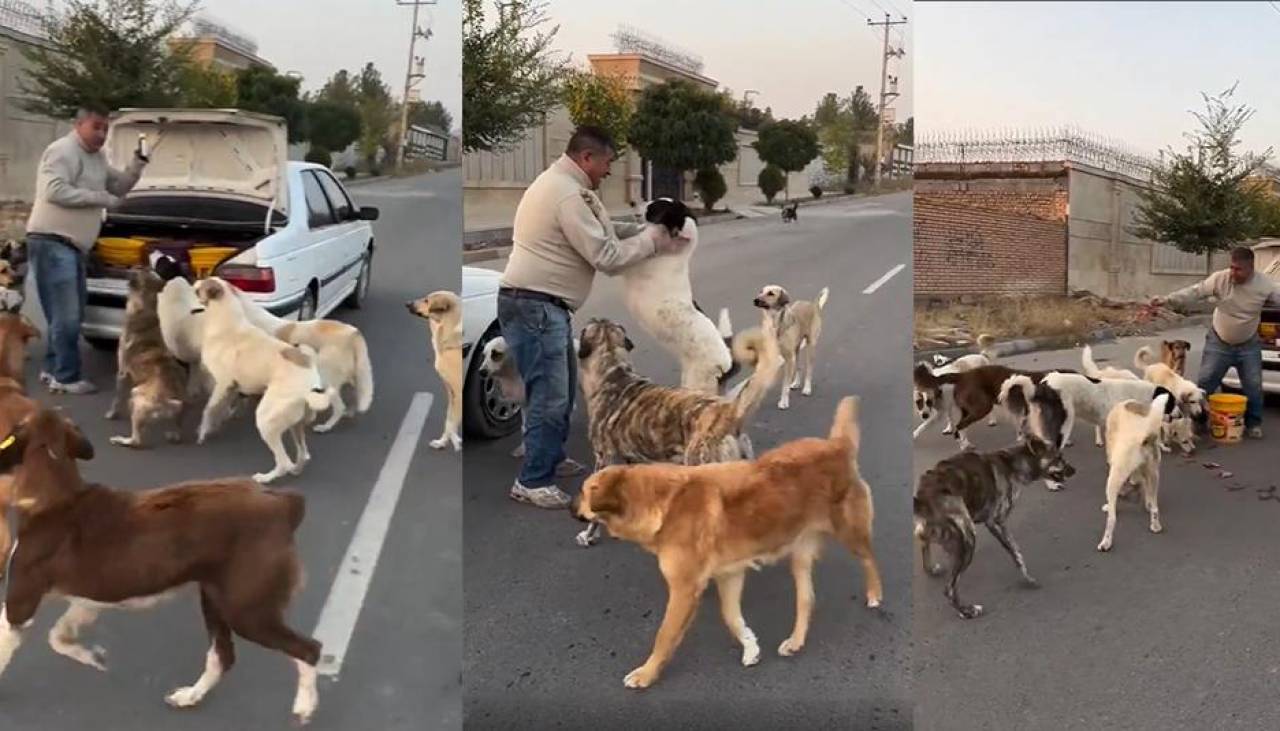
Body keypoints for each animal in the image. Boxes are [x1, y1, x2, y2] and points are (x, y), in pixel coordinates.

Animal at [0, 409, 322, 722]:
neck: (55, 493)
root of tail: (284, 504)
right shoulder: (88, 601)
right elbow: (58, 636)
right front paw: (90, 655)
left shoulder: (19, 606)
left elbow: (16, 645)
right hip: (215, 598)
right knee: (222, 657)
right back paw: (190, 696)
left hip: (247, 611)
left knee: (309, 650)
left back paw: (305, 705)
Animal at [193, 277, 335, 483]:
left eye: (201, 286)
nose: (194, 280)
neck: (226, 318)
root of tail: (309, 387)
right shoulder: (232, 387)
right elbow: (223, 408)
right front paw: (221, 420)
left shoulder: (222, 383)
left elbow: (208, 410)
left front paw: (203, 432)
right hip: (295, 424)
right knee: (303, 455)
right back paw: (296, 469)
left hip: (266, 420)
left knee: (284, 462)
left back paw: (265, 478)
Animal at [407, 291, 463, 453]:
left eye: (427, 301)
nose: (407, 303)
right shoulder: (451, 392)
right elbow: (449, 420)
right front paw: (443, 442)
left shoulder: (458, 392)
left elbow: (451, 422)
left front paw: (455, 441)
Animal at [570, 396, 880, 691]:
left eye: (583, 493)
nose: (569, 507)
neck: (661, 502)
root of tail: (837, 445)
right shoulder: (730, 575)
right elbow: (731, 617)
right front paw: (751, 646)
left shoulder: (684, 591)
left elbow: (664, 636)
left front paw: (646, 674)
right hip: (799, 554)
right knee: (806, 600)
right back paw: (795, 640)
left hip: (850, 532)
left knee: (870, 559)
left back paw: (875, 594)